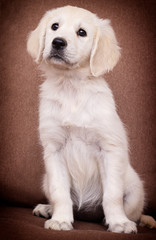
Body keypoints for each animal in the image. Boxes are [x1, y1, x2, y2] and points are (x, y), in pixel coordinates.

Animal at [26, 5, 155, 232]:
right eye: (54, 26)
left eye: (82, 32)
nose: (57, 42)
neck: (71, 86)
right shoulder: (54, 149)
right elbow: (60, 192)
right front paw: (60, 219)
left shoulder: (109, 148)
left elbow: (112, 195)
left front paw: (119, 222)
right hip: (45, 180)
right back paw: (48, 209)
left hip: (135, 187)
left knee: (134, 213)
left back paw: (123, 219)